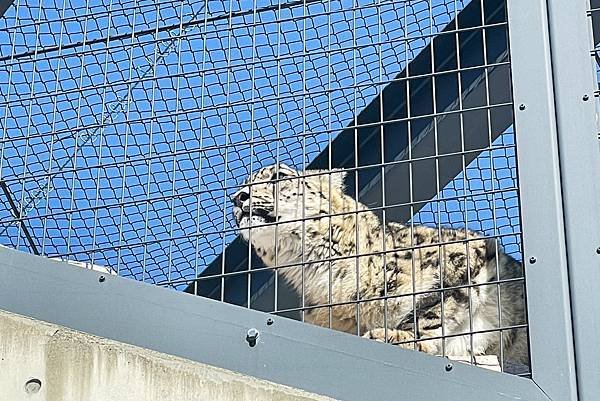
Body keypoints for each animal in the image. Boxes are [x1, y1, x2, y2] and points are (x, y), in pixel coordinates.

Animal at [232, 162, 528, 366]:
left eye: (280, 176)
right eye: (244, 185)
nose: (238, 197)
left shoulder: (465, 254)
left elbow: (433, 311)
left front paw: (394, 336)